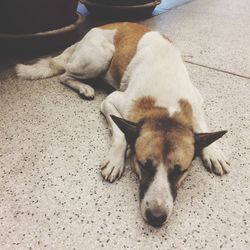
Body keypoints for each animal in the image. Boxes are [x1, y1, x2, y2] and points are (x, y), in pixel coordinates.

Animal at [16, 22, 230, 228]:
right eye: (144, 165)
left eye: (180, 171)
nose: (156, 217)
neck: (165, 107)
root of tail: (99, 28)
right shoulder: (110, 102)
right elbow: (120, 134)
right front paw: (117, 159)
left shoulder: (196, 103)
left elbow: (202, 125)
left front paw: (213, 151)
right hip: (99, 58)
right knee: (65, 74)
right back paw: (84, 87)